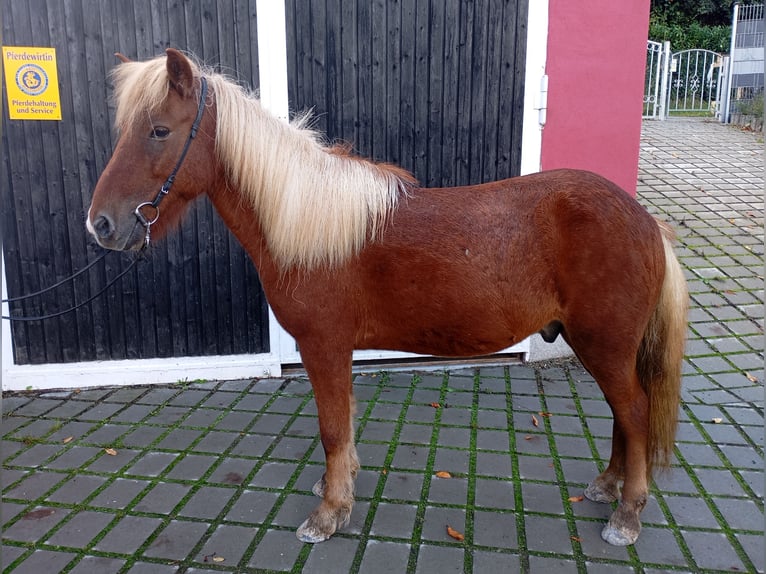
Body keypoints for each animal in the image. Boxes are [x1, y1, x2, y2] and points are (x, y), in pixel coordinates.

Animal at [87, 50, 688, 548]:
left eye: (159, 130)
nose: (102, 225)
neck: (310, 223)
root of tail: (644, 221)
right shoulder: (337, 350)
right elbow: (344, 425)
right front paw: (339, 487)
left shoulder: (323, 345)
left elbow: (332, 427)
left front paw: (329, 514)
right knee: (623, 414)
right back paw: (607, 487)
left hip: (603, 344)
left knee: (634, 411)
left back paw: (627, 514)